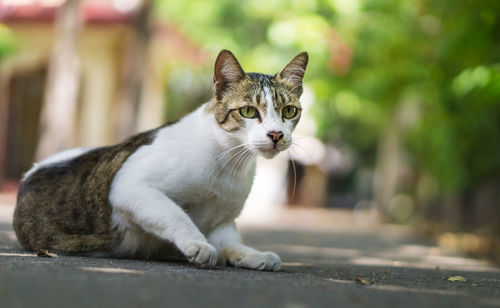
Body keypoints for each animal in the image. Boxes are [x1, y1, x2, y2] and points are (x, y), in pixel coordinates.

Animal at [12, 49, 308, 270]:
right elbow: (175, 214)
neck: (230, 163)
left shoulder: (222, 222)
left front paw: (251, 254)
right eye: (248, 111)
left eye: (289, 111)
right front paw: (198, 244)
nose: (276, 134)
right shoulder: (129, 187)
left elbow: (229, 243)